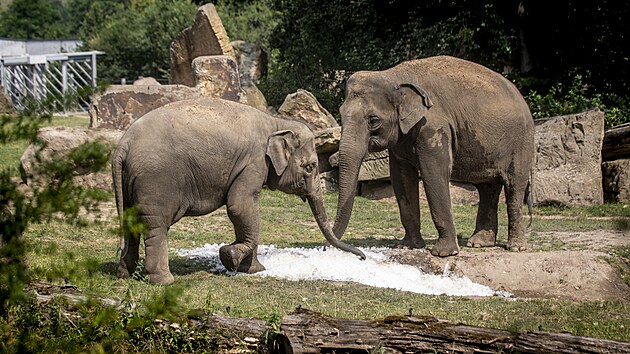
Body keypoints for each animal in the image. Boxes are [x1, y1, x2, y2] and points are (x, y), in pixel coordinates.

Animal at [112, 97, 366, 284]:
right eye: (310, 166)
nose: (363, 257)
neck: (275, 124)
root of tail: (123, 145)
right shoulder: (254, 163)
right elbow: (240, 206)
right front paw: (230, 257)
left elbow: (242, 211)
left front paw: (253, 269)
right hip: (156, 181)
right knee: (156, 226)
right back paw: (164, 281)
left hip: (129, 183)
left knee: (131, 224)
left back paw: (125, 275)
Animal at [334, 55, 536, 256]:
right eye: (340, 114)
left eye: (373, 120)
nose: (360, 255)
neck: (392, 75)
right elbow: (401, 178)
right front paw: (408, 246)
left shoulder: (434, 126)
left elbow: (434, 174)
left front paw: (443, 253)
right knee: (488, 188)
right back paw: (479, 244)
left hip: (521, 142)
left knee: (514, 186)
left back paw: (516, 247)